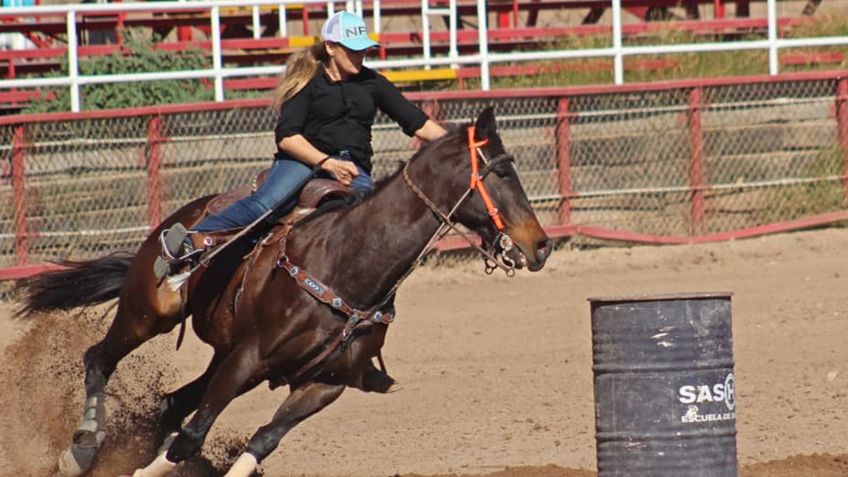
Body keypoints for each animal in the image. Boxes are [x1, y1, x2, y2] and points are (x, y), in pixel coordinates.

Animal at [16, 108, 552, 476]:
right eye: (503, 172)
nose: (541, 245)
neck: (349, 264)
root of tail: (181, 216)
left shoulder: (323, 383)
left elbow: (263, 439)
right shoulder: (247, 358)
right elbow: (194, 435)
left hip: (224, 353)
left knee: (170, 403)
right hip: (151, 315)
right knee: (100, 359)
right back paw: (81, 448)